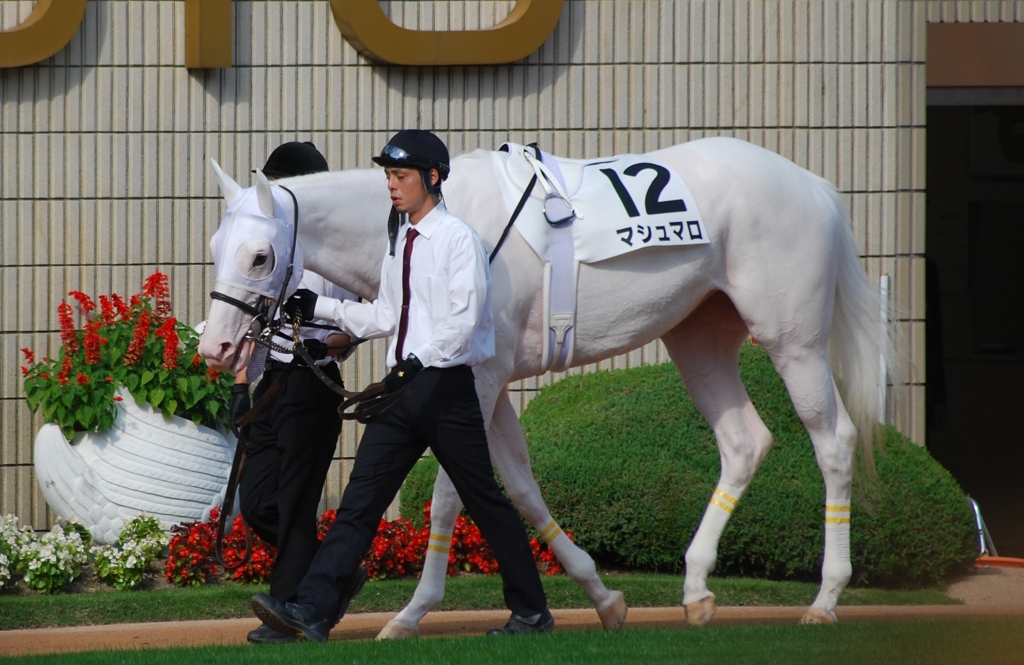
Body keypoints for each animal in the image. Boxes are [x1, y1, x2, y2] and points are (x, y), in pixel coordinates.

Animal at [197, 136, 897, 631]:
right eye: (214, 246)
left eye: (259, 256)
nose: (216, 347)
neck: (442, 222)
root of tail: (814, 185)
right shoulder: (490, 382)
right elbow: (521, 489)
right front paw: (599, 595)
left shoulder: (474, 376)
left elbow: (450, 494)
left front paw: (413, 612)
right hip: (698, 337)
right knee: (745, 442)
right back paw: (697, 588)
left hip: (791, 340)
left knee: (834, 442)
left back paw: (826, 597)